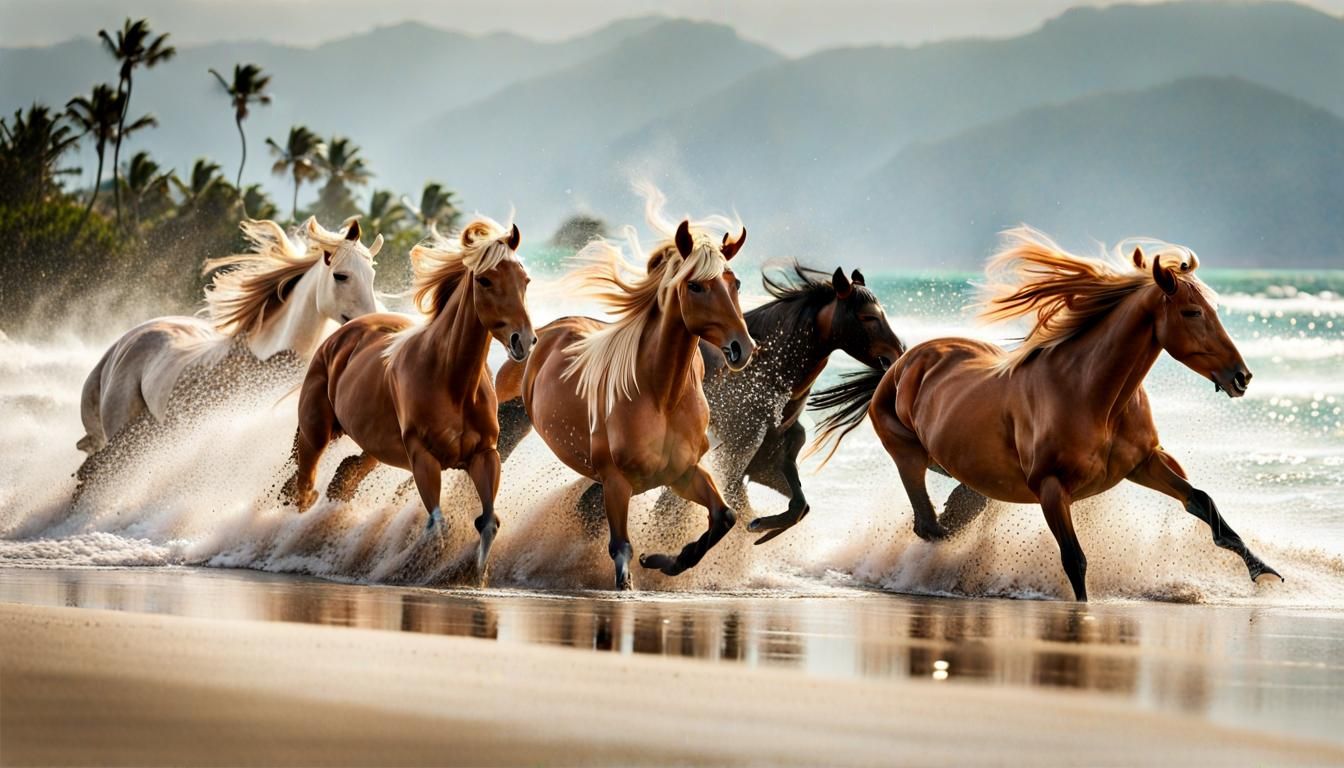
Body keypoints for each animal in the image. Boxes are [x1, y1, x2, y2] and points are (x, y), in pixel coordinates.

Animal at [284, 216, 532, 575]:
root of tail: (344, 332)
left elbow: (487, 523)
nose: (523, 340)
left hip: (371, 447)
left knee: (345, 472)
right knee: (303, 488)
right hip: (316, 433)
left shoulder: (485, 455)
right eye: (485, 280)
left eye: (525, 280)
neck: (452, 382)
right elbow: (437, 525)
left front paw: (475, 573)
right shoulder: (422, 457)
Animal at [495, 187, 755, 590]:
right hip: (508, 420)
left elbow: (723, 518)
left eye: (735, 282)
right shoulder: (616, 482)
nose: (742, 347)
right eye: (696, 285)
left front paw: (662, 561)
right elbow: (620, 551)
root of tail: (545, 333)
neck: (662, 396)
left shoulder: (683, 472)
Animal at [497, 263, 905, 546]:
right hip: (517, 420)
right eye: (868, 316)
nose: (897, 353)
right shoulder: (731, 456)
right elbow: (677, 510)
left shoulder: (765, 463)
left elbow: (796, 505)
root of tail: (542, 333)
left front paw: (760, 529)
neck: (762, 377)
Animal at [808, 226, 1280, 601]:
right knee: (930, 526)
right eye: (1192, 311)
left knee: (951, 515)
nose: (1241, 376)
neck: (1094, 396)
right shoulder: (1052, 488)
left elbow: (1203, 502)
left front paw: (1266, 572)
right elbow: (1075, 559)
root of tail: (901, 363)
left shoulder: (1145, 463)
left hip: (966, 472)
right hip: (910, 456)